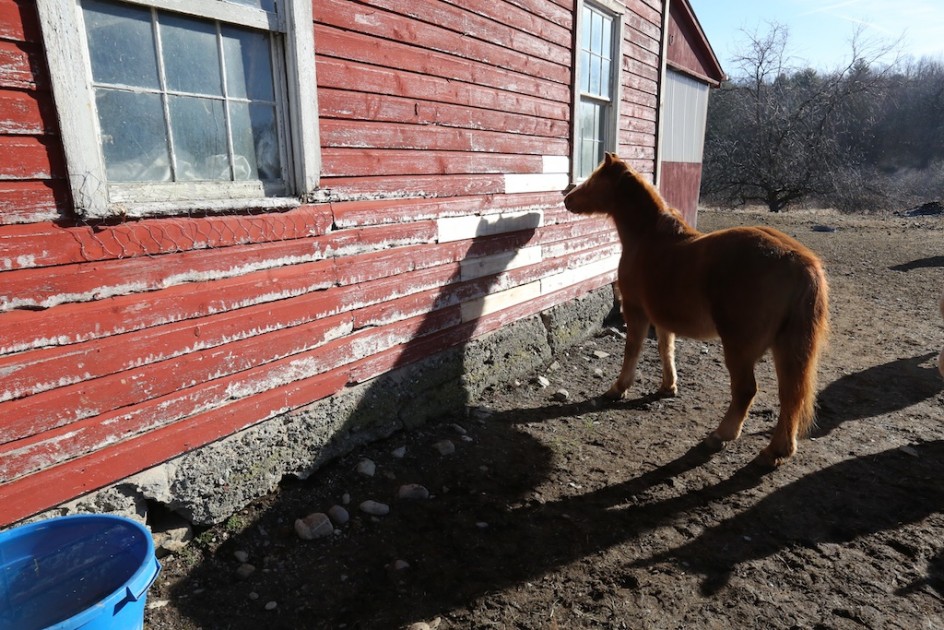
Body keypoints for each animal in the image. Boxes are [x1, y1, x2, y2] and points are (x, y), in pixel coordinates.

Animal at [564, 153, 828, 470]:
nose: (567, 199)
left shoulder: (637, 312)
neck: (648, 239)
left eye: (594, 180)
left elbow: (633, 351)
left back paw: (721, 436)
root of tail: (799, 261)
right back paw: (776, 451)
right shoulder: (662, 318)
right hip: (786, 349)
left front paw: (618, 388)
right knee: (791, 396)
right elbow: (666, 350)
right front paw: (668, 387)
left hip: (739, 348)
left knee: (746, 390)